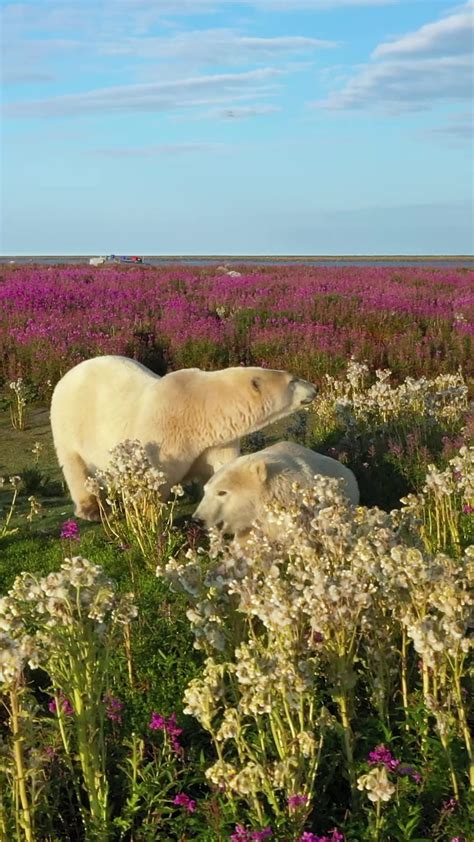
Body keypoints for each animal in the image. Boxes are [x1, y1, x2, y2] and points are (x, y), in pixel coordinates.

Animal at [50, 354, 316, 520]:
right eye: (293, 379)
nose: (315, 388)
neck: (200, 410)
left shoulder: (216, 441)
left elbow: (223, 466)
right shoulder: (162, 435)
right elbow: (152, 477)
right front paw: (149, 514)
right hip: (69, 423)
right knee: (75, 466)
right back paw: (91, 509)